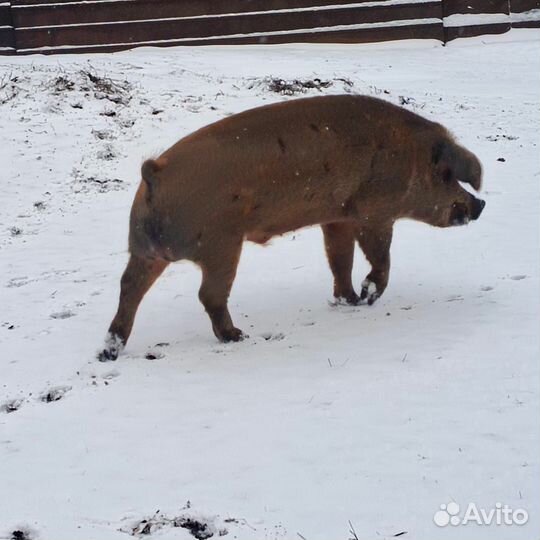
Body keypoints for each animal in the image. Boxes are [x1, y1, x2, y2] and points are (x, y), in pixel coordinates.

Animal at [98, 95, 486, 360]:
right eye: (447, 175)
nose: (480, 205)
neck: (409, 156)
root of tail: (154, 174)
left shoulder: (336, 217)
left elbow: (339, 260)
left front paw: (349, 300)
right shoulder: (373, 212)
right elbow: (380, 257)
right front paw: (367, 296)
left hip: (144, 250)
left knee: (128, 287)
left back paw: (109, 351)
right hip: (221, 245)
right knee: (208, 294)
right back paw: (238, 336)